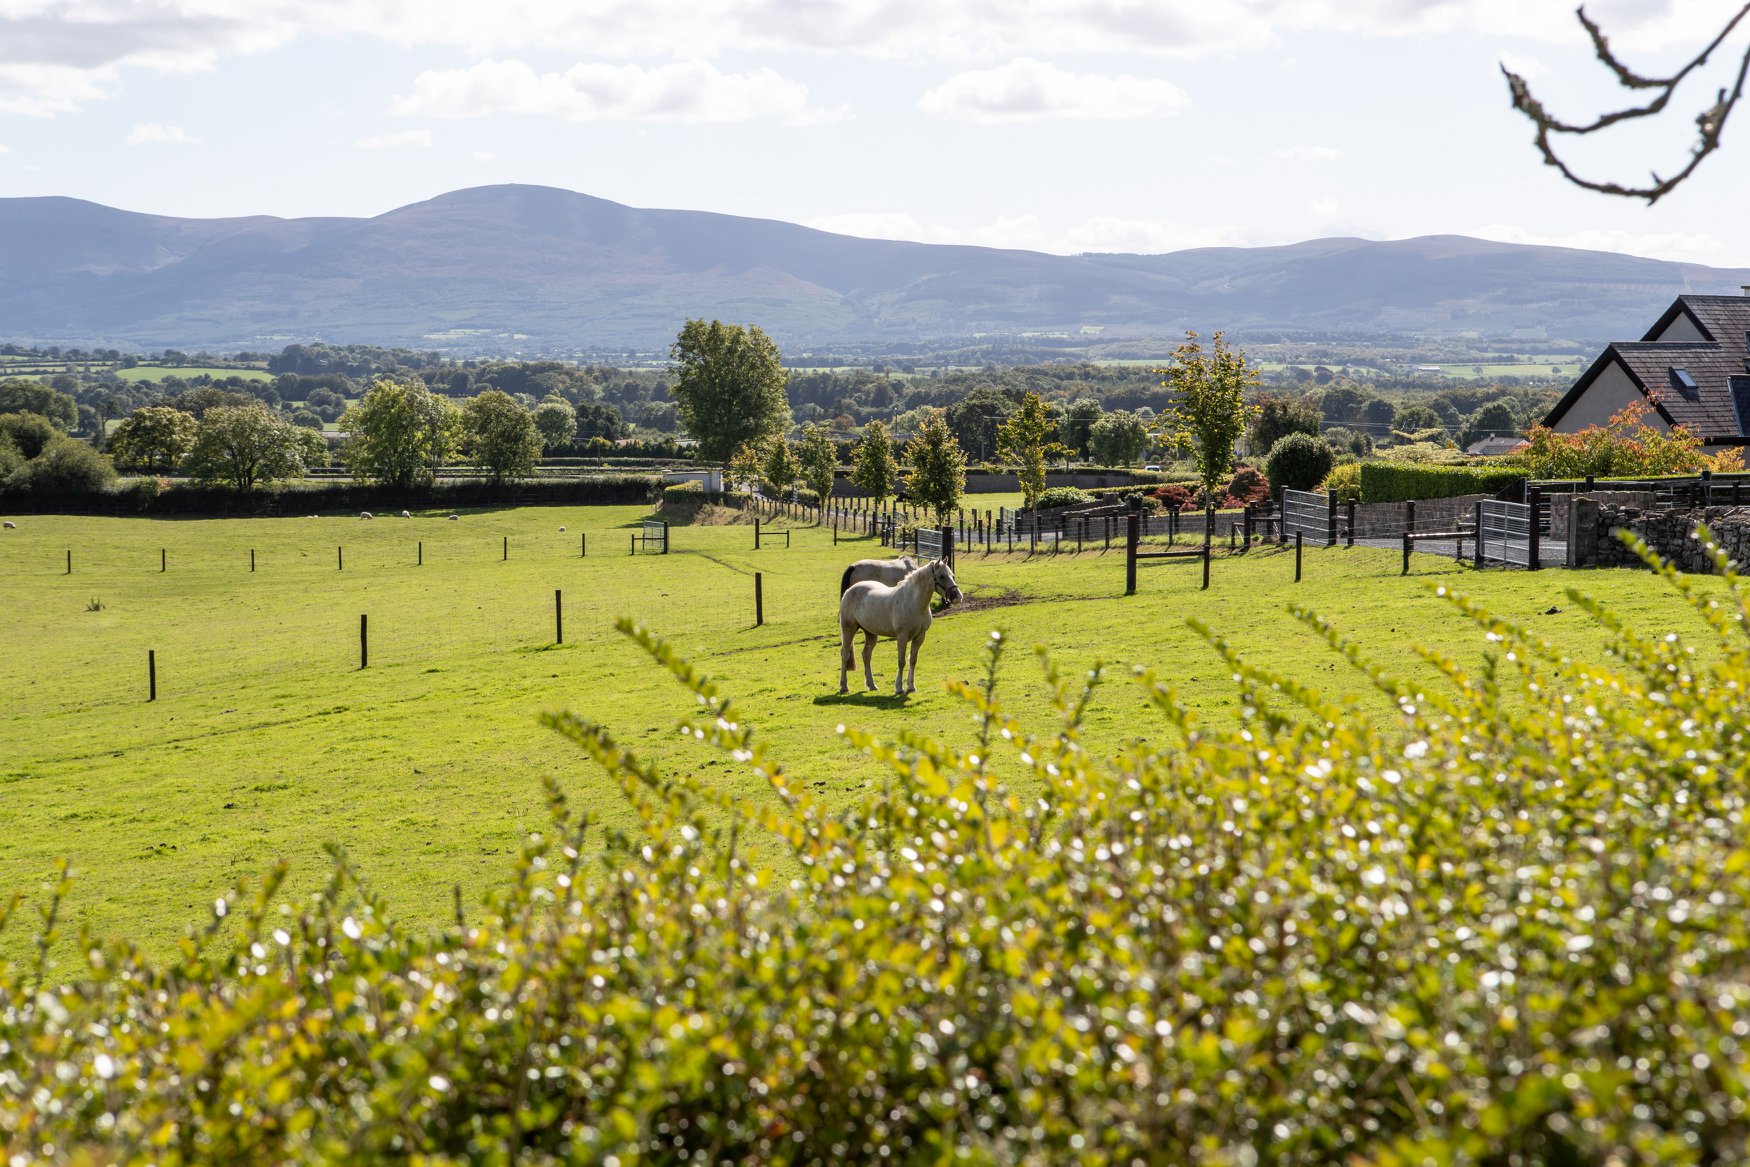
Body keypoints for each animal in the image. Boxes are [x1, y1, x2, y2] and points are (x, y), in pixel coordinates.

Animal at [839, 559, 962, 696]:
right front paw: (899, 688)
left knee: (866, 655)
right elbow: (901, 661)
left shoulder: (920, 637)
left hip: (870, 633)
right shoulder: (902, 636)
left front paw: (911, 686)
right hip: (848, 629)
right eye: (941, 576)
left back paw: (872, 685)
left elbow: (912, 660)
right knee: (845, 654)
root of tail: (849, 591)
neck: (913, 603)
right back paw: (844, 687)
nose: (957, 597)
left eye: (952, 575)